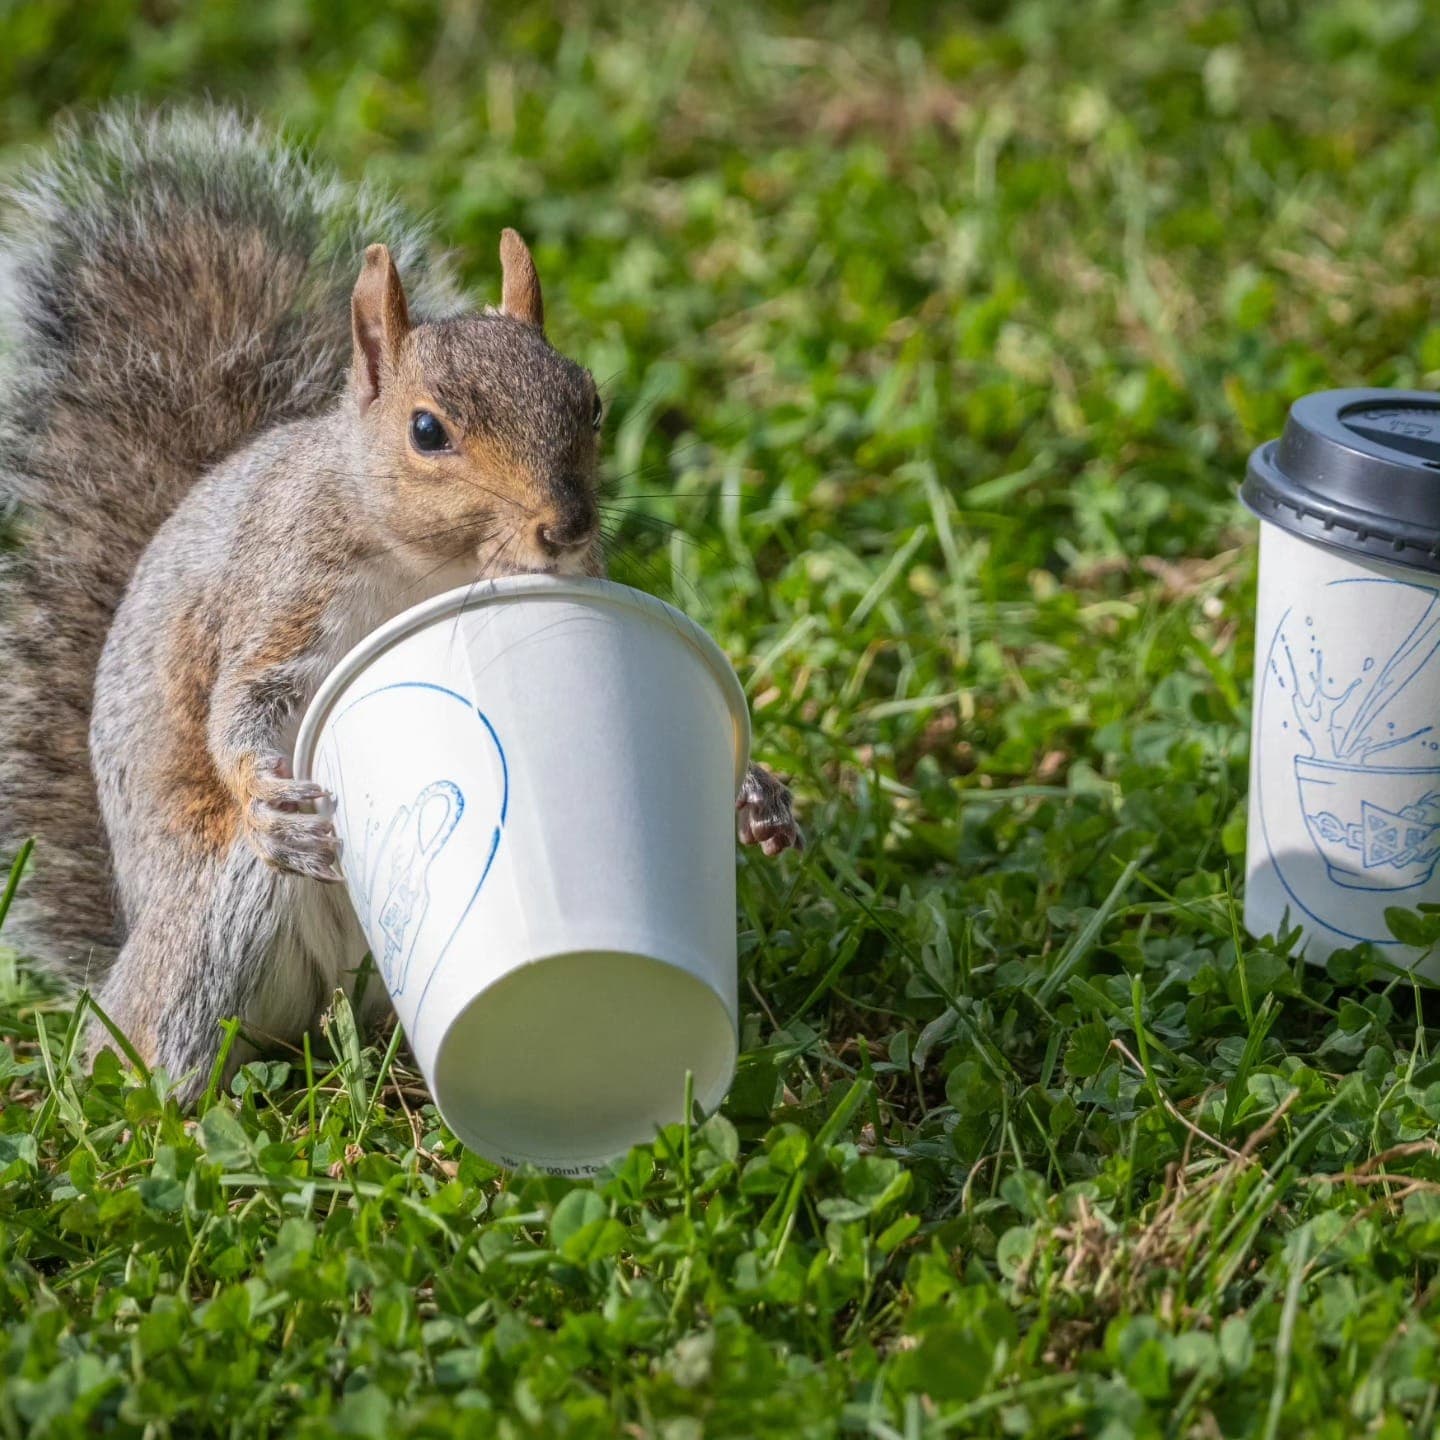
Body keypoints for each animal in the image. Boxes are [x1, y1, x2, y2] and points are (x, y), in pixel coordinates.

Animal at [0, 107, 800, 1101]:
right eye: (426, 431)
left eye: (592, 402)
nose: (567, 526)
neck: (437, 567)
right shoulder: (286, 593)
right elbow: (242, 705)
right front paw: (265, 796)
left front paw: (757, 794)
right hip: (212, 924)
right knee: (160, 1037)